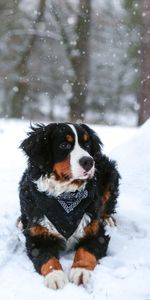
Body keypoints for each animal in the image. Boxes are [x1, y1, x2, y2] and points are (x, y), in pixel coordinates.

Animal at [18, 122, 120, 288]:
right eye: (64, 145)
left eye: (87, 144)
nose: (88, 161)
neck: (66, 195)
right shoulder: (37, 236)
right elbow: (46, 257)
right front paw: (55, 275)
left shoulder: (96, 231)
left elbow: (86, 251)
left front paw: (81, 271)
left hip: (109, 171)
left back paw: (108, 218)